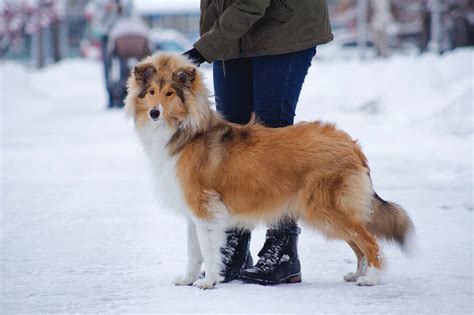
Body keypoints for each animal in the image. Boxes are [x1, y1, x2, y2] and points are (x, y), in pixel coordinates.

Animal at [126, 53, 414, 290]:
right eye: (151, 91)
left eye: (170, 94)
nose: (154, 113)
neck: (186, 132)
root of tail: (351, 144)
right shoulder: (194, 213)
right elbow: (193, 252)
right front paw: (188, 278)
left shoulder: (205, 209)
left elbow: (207, 249)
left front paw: (208, 281)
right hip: (331, 213)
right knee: (359, 244)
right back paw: (357, 274)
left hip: (328, 209)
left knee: (370, 241)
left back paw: (371, 278)